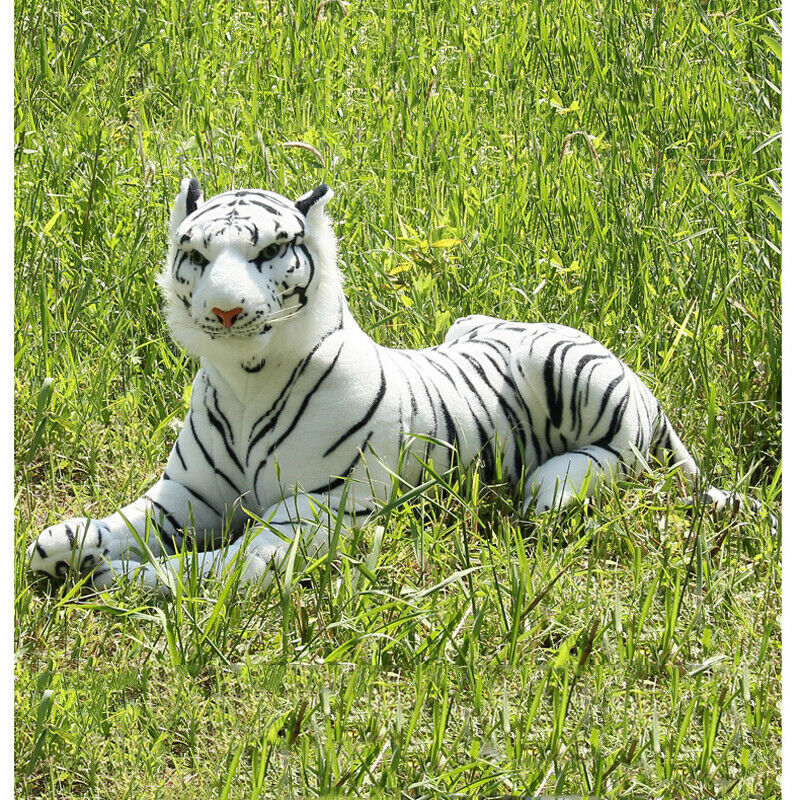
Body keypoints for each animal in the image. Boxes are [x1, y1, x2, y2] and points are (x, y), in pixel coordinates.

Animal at [27, 178, 776, 591]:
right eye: (196, 254)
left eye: (269, 252)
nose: (226, 311)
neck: (243, 382)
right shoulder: (189, 494)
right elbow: (128, 521)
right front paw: (65, 547)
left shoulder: (314, 513)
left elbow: (217, 567)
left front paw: (118, 577)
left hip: (569, 368)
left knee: (629, 458)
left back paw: (554, 484)